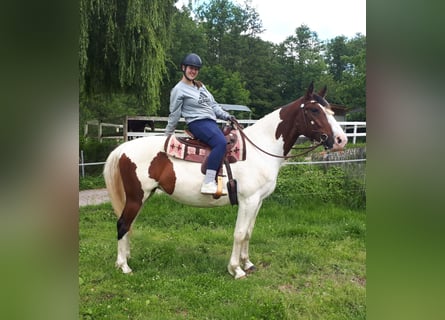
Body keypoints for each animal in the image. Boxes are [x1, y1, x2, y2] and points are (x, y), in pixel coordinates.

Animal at [104, 82, 346, 278]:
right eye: (314, 110)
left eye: (331, 111)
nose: (341, 140)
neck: (260, 149)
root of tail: (123, 148)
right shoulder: (248, 201)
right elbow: (239, 234)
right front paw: (236, 269)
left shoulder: (258, 201)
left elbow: (248, 232)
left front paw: (247, 263)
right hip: (137, 196)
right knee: (123, 223)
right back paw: (123, 266)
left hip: (142, 196)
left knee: (128, 224)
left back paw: (127, 257)